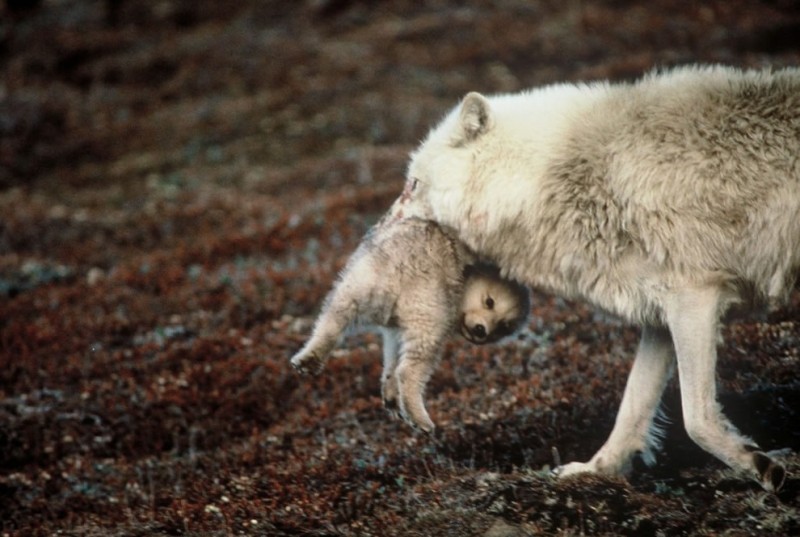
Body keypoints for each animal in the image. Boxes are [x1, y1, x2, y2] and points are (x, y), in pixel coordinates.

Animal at [290, 217, 528, 432]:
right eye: (489, 301)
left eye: (504, 326)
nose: (481, 331)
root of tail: (398, 271)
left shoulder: (394, 330)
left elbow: (391, 358)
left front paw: (390, 394)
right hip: (429, 313)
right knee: (411, 369)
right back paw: (420, 418)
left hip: (358, 285)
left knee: (332, 320)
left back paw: (309, 359)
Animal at [394, 63, 800, 490]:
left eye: (412, 185)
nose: (381, 227)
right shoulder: (660, 314)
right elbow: (632, 407)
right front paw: (595, 470)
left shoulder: (695, 298)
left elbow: (696, 418)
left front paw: (762, 466)